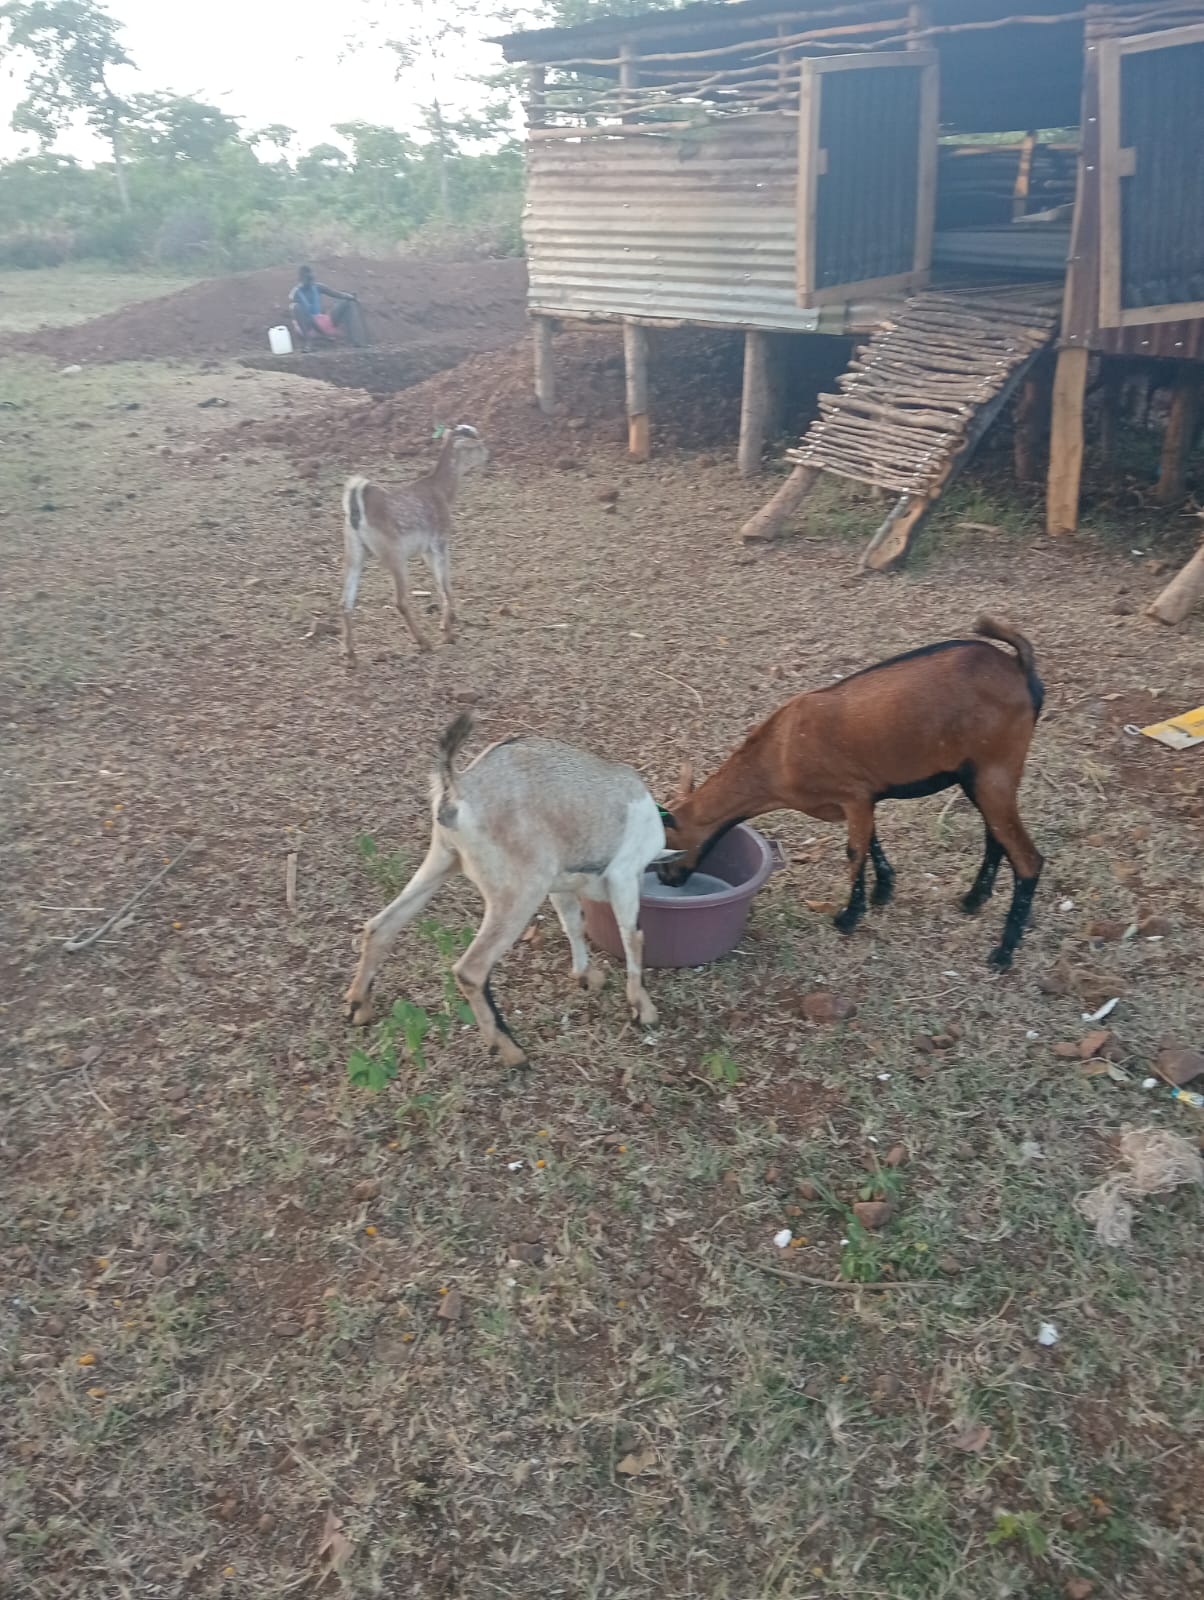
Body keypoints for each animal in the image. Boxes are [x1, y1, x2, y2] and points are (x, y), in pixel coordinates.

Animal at [339, 423, 488, 663]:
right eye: (477, 444)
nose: (488, 454)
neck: (443, 492)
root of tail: (356, 508)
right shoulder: (439, 540)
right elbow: (444, 581)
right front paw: (447, 631)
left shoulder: (426, 550)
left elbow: (441, 582)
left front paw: (451, 619)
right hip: (395, 555)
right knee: (400, 601)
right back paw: (424, 642)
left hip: (353, 551)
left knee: (345, 600)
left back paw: (349, 652)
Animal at [345, 714, 680, 1067]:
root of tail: (459, 787)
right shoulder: (624, 874)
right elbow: (633, 936)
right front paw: (643, 1009)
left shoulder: (559, 884)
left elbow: (574, 924)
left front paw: (585, 975)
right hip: (519, 890)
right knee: (471, 970)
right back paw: (510, 1050)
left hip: (443, 859)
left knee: (380, 927)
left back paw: (358, 1006)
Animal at [659, 618, 1045, 970]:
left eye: (666, 848)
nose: (665, 879)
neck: (778, 752)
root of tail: (1019, 667)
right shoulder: (862, 799)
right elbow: (871, 841)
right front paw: (883, 890)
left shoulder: (854, 794)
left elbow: (854, 851)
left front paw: (849, 916)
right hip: (978, 776)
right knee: (996, 838)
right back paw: (973, 900)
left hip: (995, 770)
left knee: (1027, 858)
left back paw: (1003, 953)